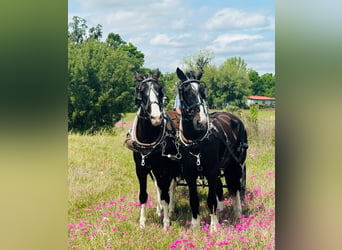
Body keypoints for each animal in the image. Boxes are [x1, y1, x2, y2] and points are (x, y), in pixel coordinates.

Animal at [124, 69, 180, 229]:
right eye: (141, 92)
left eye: (160, 90)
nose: (156, 117)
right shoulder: (140, 168)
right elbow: (144, 194)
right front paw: (142, 222)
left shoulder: (165, 168)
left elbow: (166, 193)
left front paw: (166, 222)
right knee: (159, 186)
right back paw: (159, 209)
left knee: (170, 187)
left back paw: (170, 209)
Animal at [175, 67, 247, 232]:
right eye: (186, 90)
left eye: (203, 91)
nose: (200, 121)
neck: (196, 141)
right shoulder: (189, 174)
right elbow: (194, 199)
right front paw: (195, 224)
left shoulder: (212, 171)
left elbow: (211, 199)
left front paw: (214, 226)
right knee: (221, 187)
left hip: (235, 164)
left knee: (236, 186)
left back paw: (237, 211)